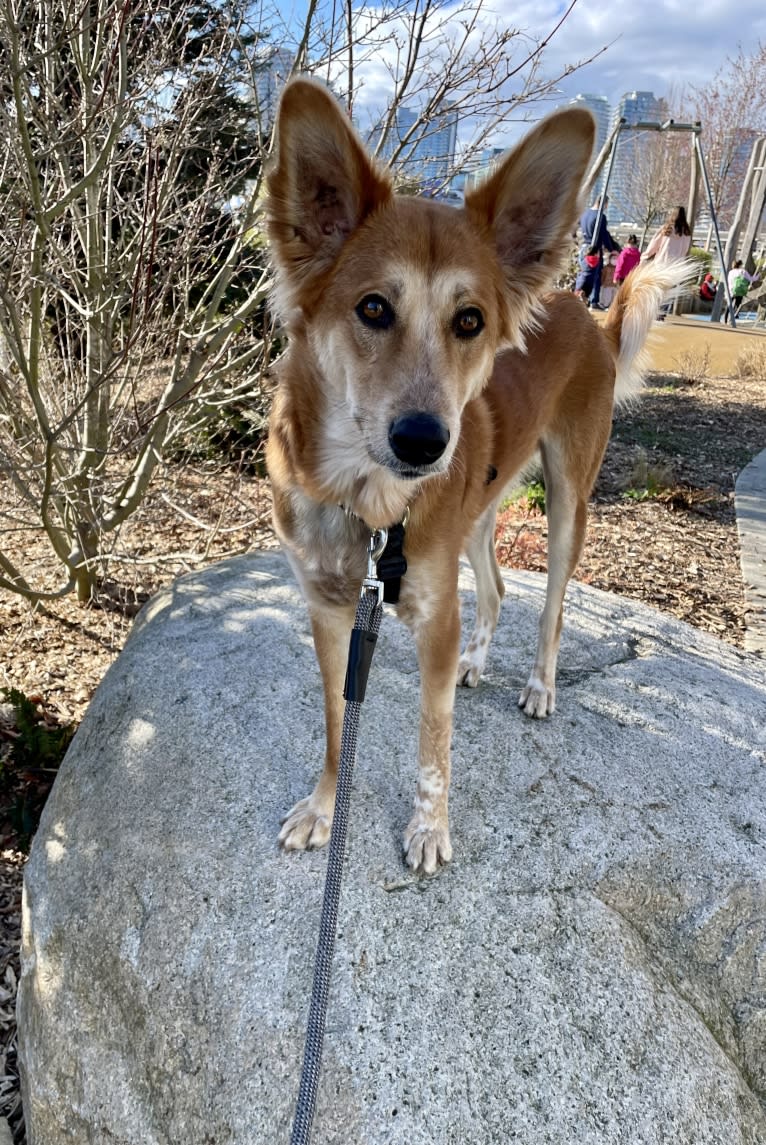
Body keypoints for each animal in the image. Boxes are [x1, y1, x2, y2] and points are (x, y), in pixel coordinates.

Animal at [264, 78, 686, 874]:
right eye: (373, 307)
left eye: (470, 321)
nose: (425, 441)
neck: (367, 505)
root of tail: (586, 312)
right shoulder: (329, 611)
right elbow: (337, 721)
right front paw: (326, 807)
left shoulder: (433, 619)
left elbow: (435, 740)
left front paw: (430, 828)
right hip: (478, 513)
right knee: (493, 588)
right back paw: (480, 659)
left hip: (568, 501)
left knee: (550, 605)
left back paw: (540, 684)